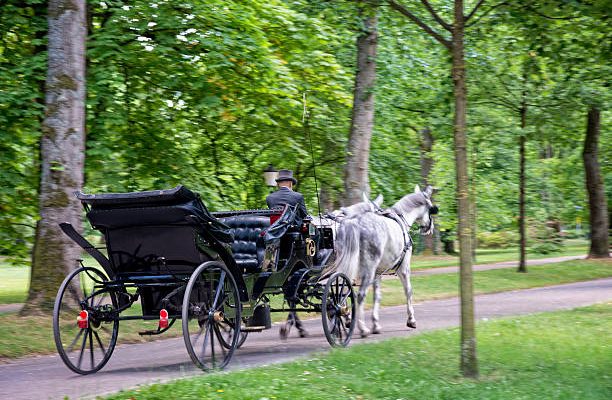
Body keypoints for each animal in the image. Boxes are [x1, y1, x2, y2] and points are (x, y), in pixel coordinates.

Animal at [332, 186, 438, 336]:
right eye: (430, 209)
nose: (431, 227)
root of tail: (355, 223)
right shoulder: (403, 269)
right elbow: (408, 291)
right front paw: (411, 319)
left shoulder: (378, 273)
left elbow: (377, 296)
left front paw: (376, 324)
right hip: (368, 269)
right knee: (360, 295)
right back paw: (362, 328)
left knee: (340, 292)